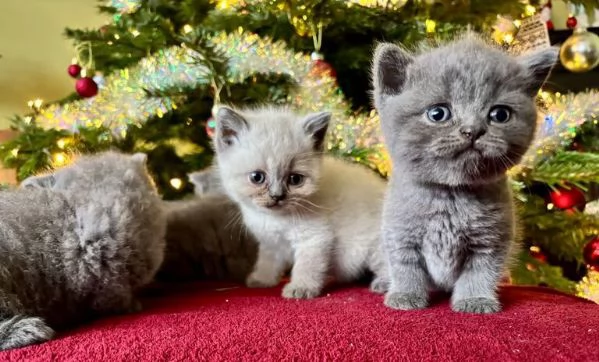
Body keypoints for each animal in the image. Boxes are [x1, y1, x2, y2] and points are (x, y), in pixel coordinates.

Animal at [213, 107, 386, 300]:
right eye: (257, 177)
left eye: (295, 179)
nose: (277, 196)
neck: (275, 219)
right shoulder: (271, 243)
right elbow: (267, 262)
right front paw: (261, 280)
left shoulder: (314, 238)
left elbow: (306, 266)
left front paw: (301, 288)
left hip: (374, 247)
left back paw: (382, 284)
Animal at [372, 34, 560, 314]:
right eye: (438, 113)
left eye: (500, 114)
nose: (473, 130)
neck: (452, 195)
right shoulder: (400, 234)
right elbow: (406, 268)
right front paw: (405, 296)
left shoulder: (491, 242)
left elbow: (480, 273)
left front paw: (476, 300)